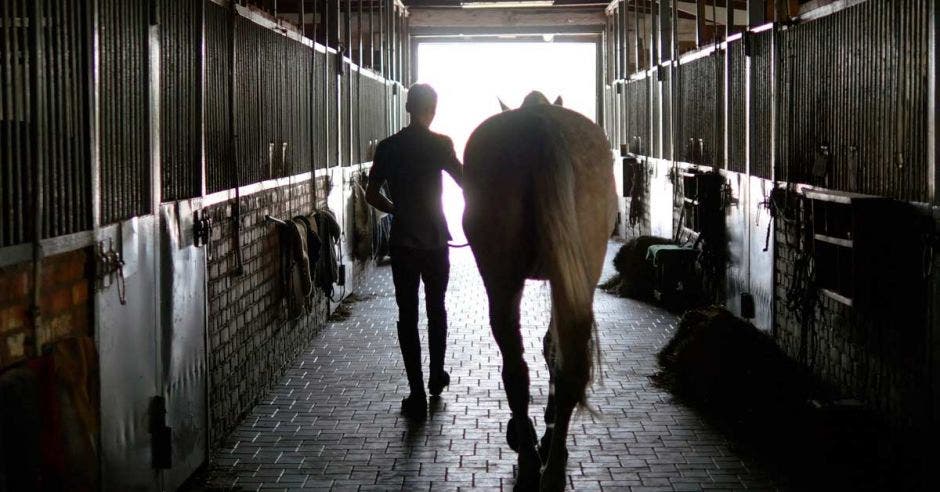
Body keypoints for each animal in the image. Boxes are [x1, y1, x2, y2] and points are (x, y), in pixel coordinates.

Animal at [460, 90, 616, 490]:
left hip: (504, 278)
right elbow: (552, 346)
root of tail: (538, 125)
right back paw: (547, 463)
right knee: (554, 368)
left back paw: (534, 457)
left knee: (520, 369)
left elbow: (549, 346)